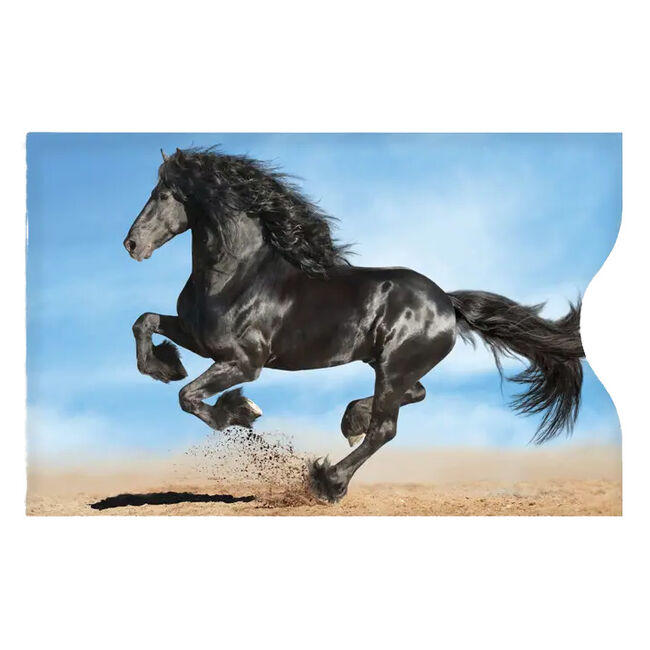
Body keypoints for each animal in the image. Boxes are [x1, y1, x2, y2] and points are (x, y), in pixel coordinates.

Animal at [123, 147, 585, 503]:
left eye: (164, 194)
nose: (131, 244)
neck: (238, 275)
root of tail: (447, 303)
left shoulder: (244, 362)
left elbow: (188, 397)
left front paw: (241, 411)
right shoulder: (201, 340)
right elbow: (145, 323)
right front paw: (165, 366)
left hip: (395, 366)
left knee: (385, 428)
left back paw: (328, 481)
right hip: (389, 366)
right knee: (410, 397)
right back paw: (351, 421)